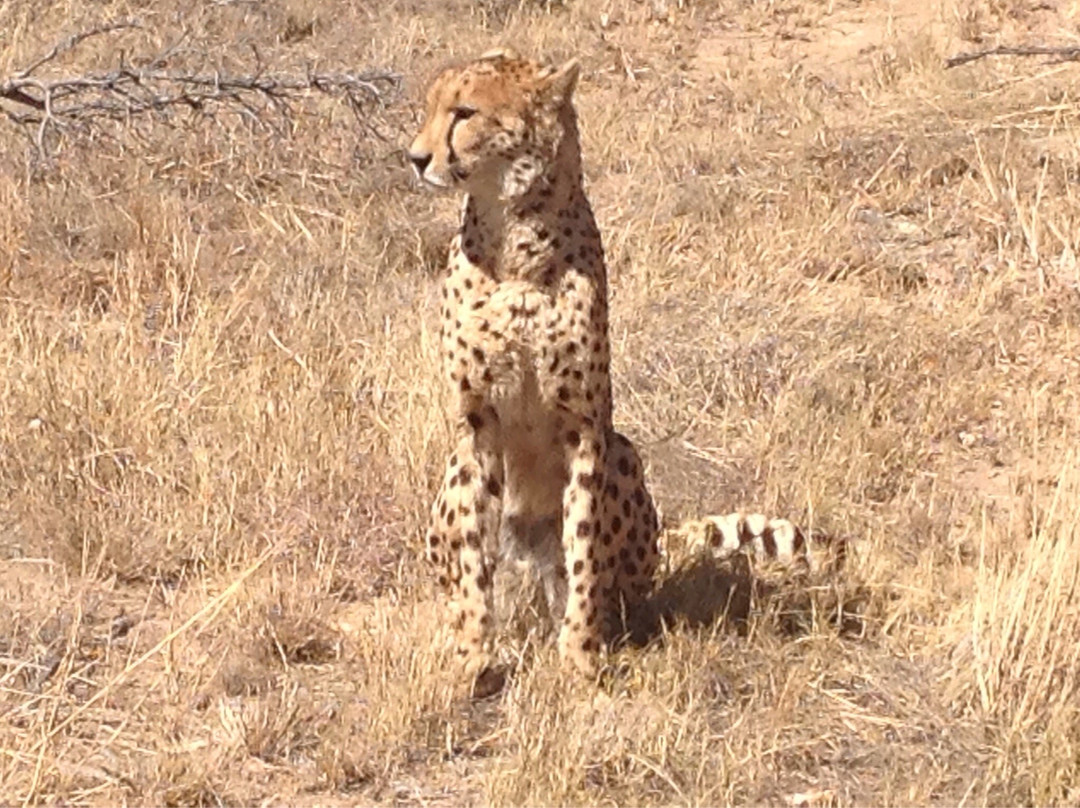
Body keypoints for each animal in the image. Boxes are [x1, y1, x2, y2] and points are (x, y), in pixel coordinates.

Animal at [407, 48, 661, 688]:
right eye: (431, 108)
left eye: (464, 112)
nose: (416, 158)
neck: (515, 240)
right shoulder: (477, 425)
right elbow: (474, 548)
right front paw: (474, 650)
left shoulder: (584, 425)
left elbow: (584, 545)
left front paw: (580, 652)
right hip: (452, 469)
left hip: (623, 449)